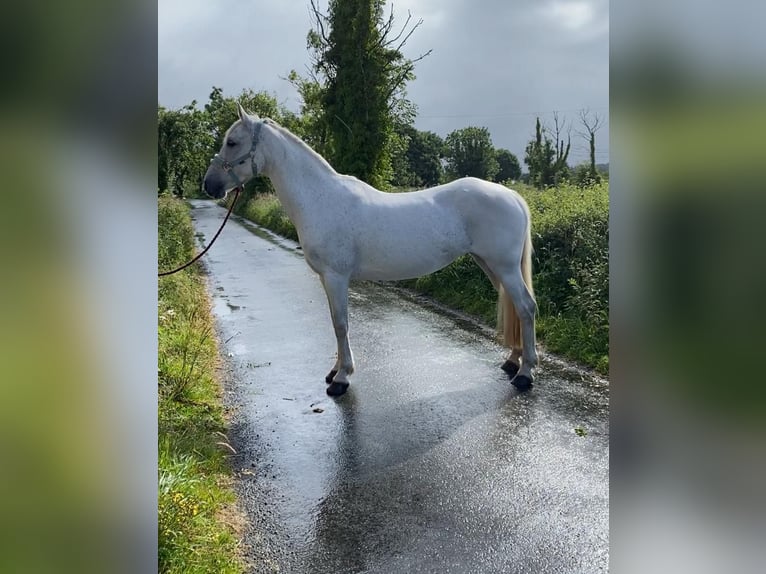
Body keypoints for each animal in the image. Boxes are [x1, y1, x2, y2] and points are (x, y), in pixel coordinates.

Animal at [204, 106, 540, 398]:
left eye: (232, 142)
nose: (209, 185)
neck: (320, 198)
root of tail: (512, 195)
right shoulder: (327, 278)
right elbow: (335, 322)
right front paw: (335, 370)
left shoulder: (336, 277)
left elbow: (341, 323)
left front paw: (341, 379)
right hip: (491, 265)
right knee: (515, 306)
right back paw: (513, 361)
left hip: (505, 267)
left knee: (525, 307)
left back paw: (526, 374)